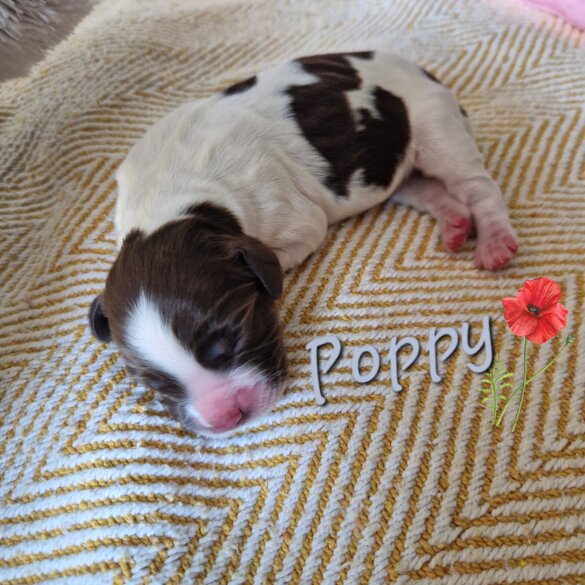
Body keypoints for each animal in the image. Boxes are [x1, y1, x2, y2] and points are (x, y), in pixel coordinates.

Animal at [86, 51, 516, 434]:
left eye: (233, 337)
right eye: (154, 383)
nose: (225, 417)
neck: (173, 204)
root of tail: (423, 72)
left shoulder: (298, 223)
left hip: (435, 127)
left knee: (477, 186)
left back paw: (494, 241)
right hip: (395, 161)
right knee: (426, 189)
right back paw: (455, 223)